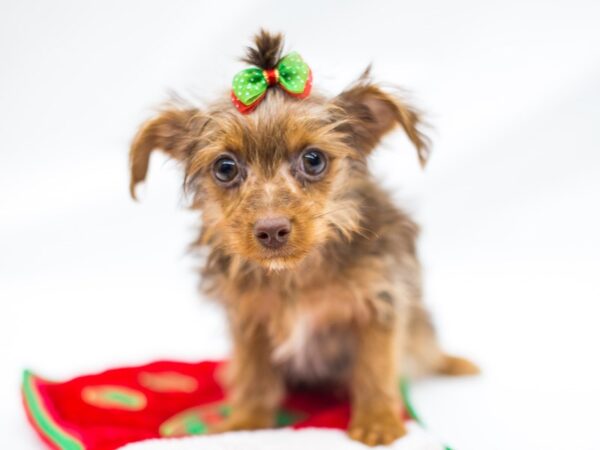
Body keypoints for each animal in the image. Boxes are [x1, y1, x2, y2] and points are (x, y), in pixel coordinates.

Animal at [129, 29, 476, 444]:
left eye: (313, 160)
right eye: (225, 167)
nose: (271, 229)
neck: (295, 274)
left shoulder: (381, 302)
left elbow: (376, 369)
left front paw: (377, 420)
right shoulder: (249, 320)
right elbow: (254, 377)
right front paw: (245, 422)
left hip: (420, 327)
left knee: (426, 348)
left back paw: (453, 362)